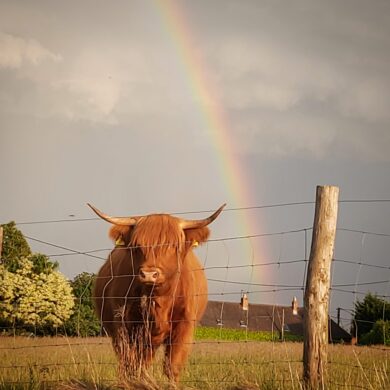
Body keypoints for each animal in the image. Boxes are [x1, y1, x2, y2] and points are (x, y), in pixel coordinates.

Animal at [86, 204, 224, 380]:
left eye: (173, 245)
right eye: (137, 246)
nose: (149, 274)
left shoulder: (184, 327)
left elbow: (172, 366)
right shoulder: (122, 325)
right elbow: (130, 364)